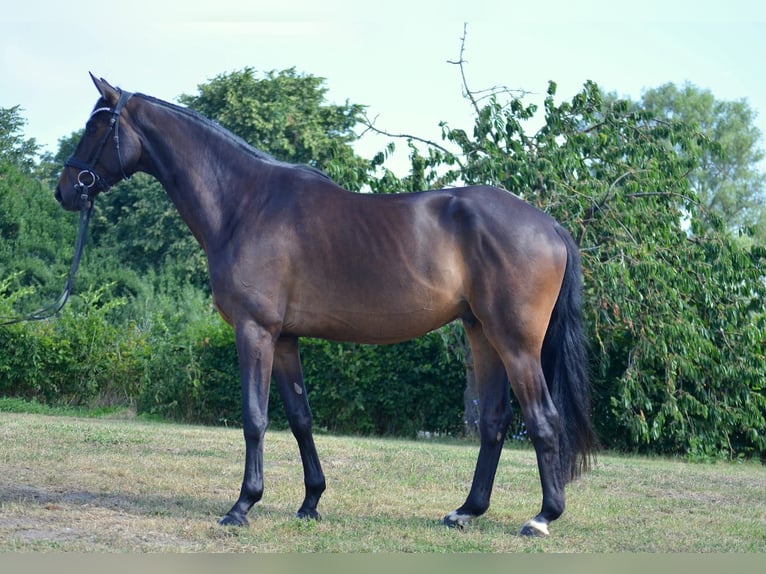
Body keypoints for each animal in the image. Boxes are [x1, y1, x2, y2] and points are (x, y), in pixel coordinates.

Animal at [55, 74, 598, 537]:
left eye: (95, 126)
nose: (64, 191)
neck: (244, 204)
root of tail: (549, 225)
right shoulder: (285, 339)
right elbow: (300, 418)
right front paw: (310, 502)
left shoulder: (254, 330)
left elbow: (254, 417)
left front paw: (242, 506)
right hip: (481, 334)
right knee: (494, 422)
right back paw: (466, 511)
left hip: (516, 342)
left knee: (542, 419)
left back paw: (542, 517)